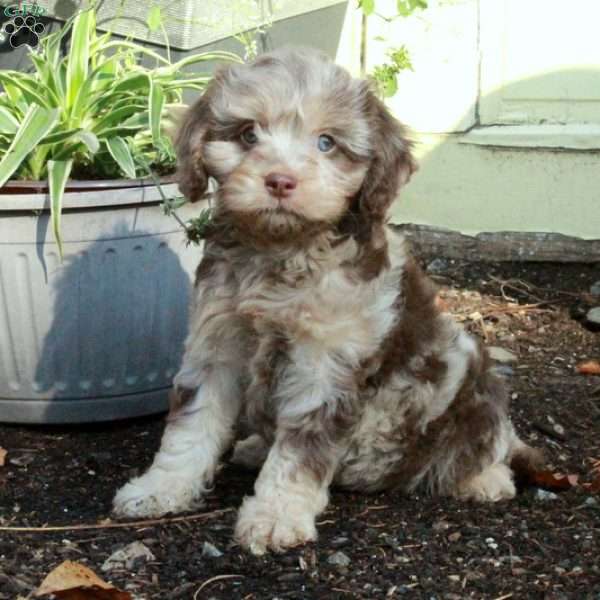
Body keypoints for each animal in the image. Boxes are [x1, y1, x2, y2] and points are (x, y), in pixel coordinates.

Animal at [111, 45, 540, 552]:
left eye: (326, 143)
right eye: (248, 134)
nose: (280, 181)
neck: (281, 254)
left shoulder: (326, 361)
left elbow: (300, 450)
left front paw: (275, 516)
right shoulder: (215, 342)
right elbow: (191, 423)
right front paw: (161, 487)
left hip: (474, 387)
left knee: (487, 444)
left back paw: (485, 479)